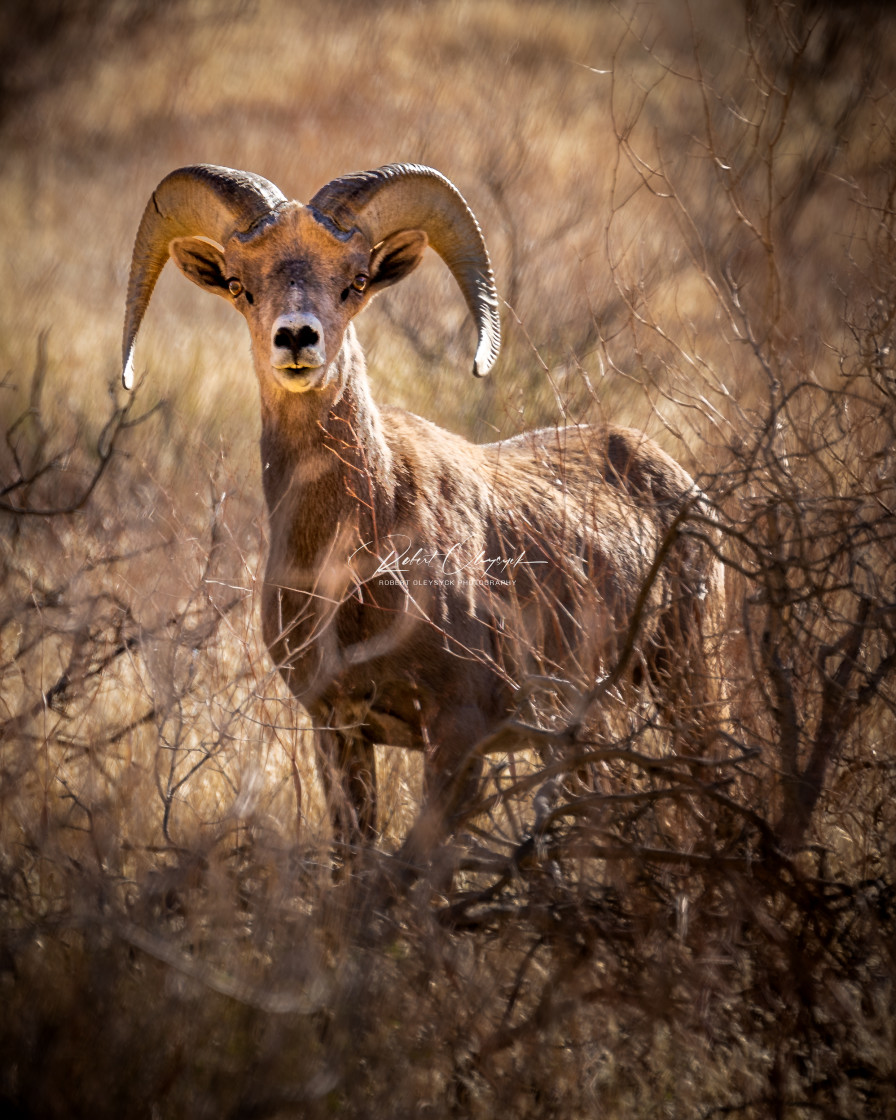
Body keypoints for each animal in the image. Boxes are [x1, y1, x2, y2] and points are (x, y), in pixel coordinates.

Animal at [122, 160, 725, 855]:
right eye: (241, 286)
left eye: (355, 282)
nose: (297, 339)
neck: (351, 565)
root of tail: (680, 484)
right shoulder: (338, 733)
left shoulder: (458, 735)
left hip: (687, 682)